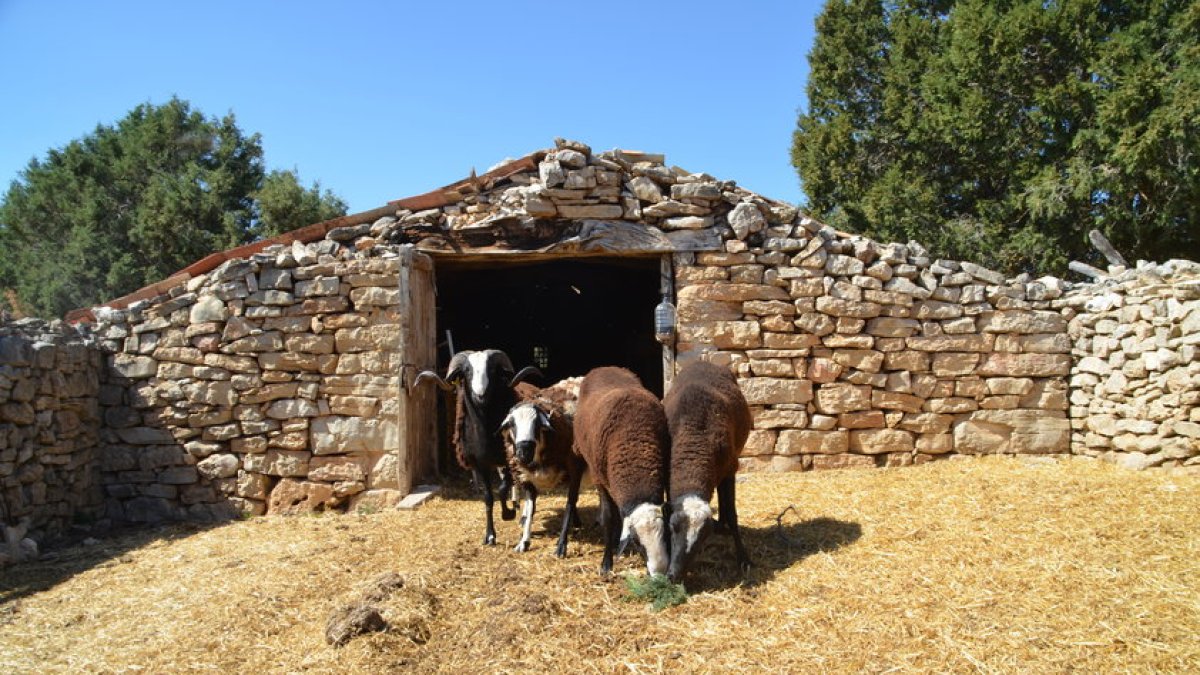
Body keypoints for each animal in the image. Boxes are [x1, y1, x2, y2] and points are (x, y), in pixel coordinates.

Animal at [415, 349, 540, 546]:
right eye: (466, 371)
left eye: (492, 370)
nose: (480, 395)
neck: (485, 432)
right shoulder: (479, 464)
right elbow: (488, 497)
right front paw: (489, 535)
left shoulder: (507, 459)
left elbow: (503, 488)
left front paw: (507, 514)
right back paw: (516, 506)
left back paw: (523, 513)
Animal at [499, 377, 586, 554]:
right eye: (512, 424)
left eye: (537, 424)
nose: (523, 453)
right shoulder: (525, 477)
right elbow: (531, 506)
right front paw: (524, 541)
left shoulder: (575, 469)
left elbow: (570, 502)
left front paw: (561, 546)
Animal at [568, 366, 670, 576]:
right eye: (637, 542)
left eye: (665, 534)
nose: (659, 574)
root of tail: (605, 367)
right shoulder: (599, 478)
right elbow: (609, 517)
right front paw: (606, 563)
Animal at [662, 360, 753, 582]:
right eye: (673, 527)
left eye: (702, 537)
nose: (673, 575)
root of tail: (703, 361)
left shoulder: (730, 470)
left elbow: (733, 513)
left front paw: (744, 558)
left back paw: (722, 525)